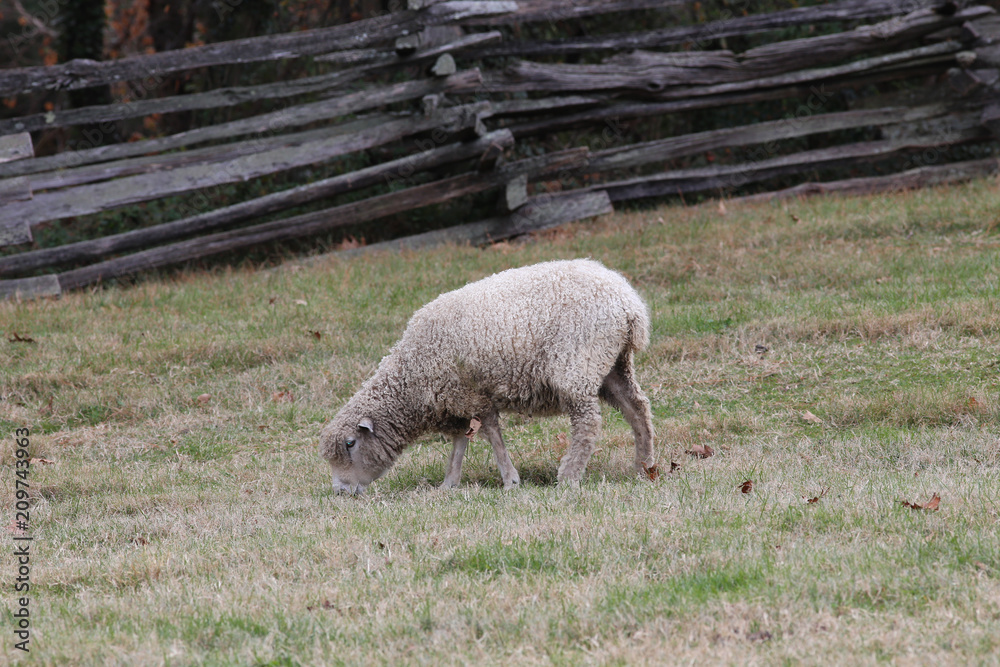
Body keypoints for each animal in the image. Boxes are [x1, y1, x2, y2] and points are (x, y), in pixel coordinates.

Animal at [318, 258, 655, 494]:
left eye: (350, 444)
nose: (341, 492)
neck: (412, 373)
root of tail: (629, 305)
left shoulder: (473, 394)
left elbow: (491, 433)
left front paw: (510, 481)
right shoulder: (453, 400)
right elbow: (459, 442)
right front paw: (449, 484)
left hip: (577, 363)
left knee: (588, 423)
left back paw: (569, 477)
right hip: (613, 364)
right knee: (638, 409)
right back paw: (644, 466)